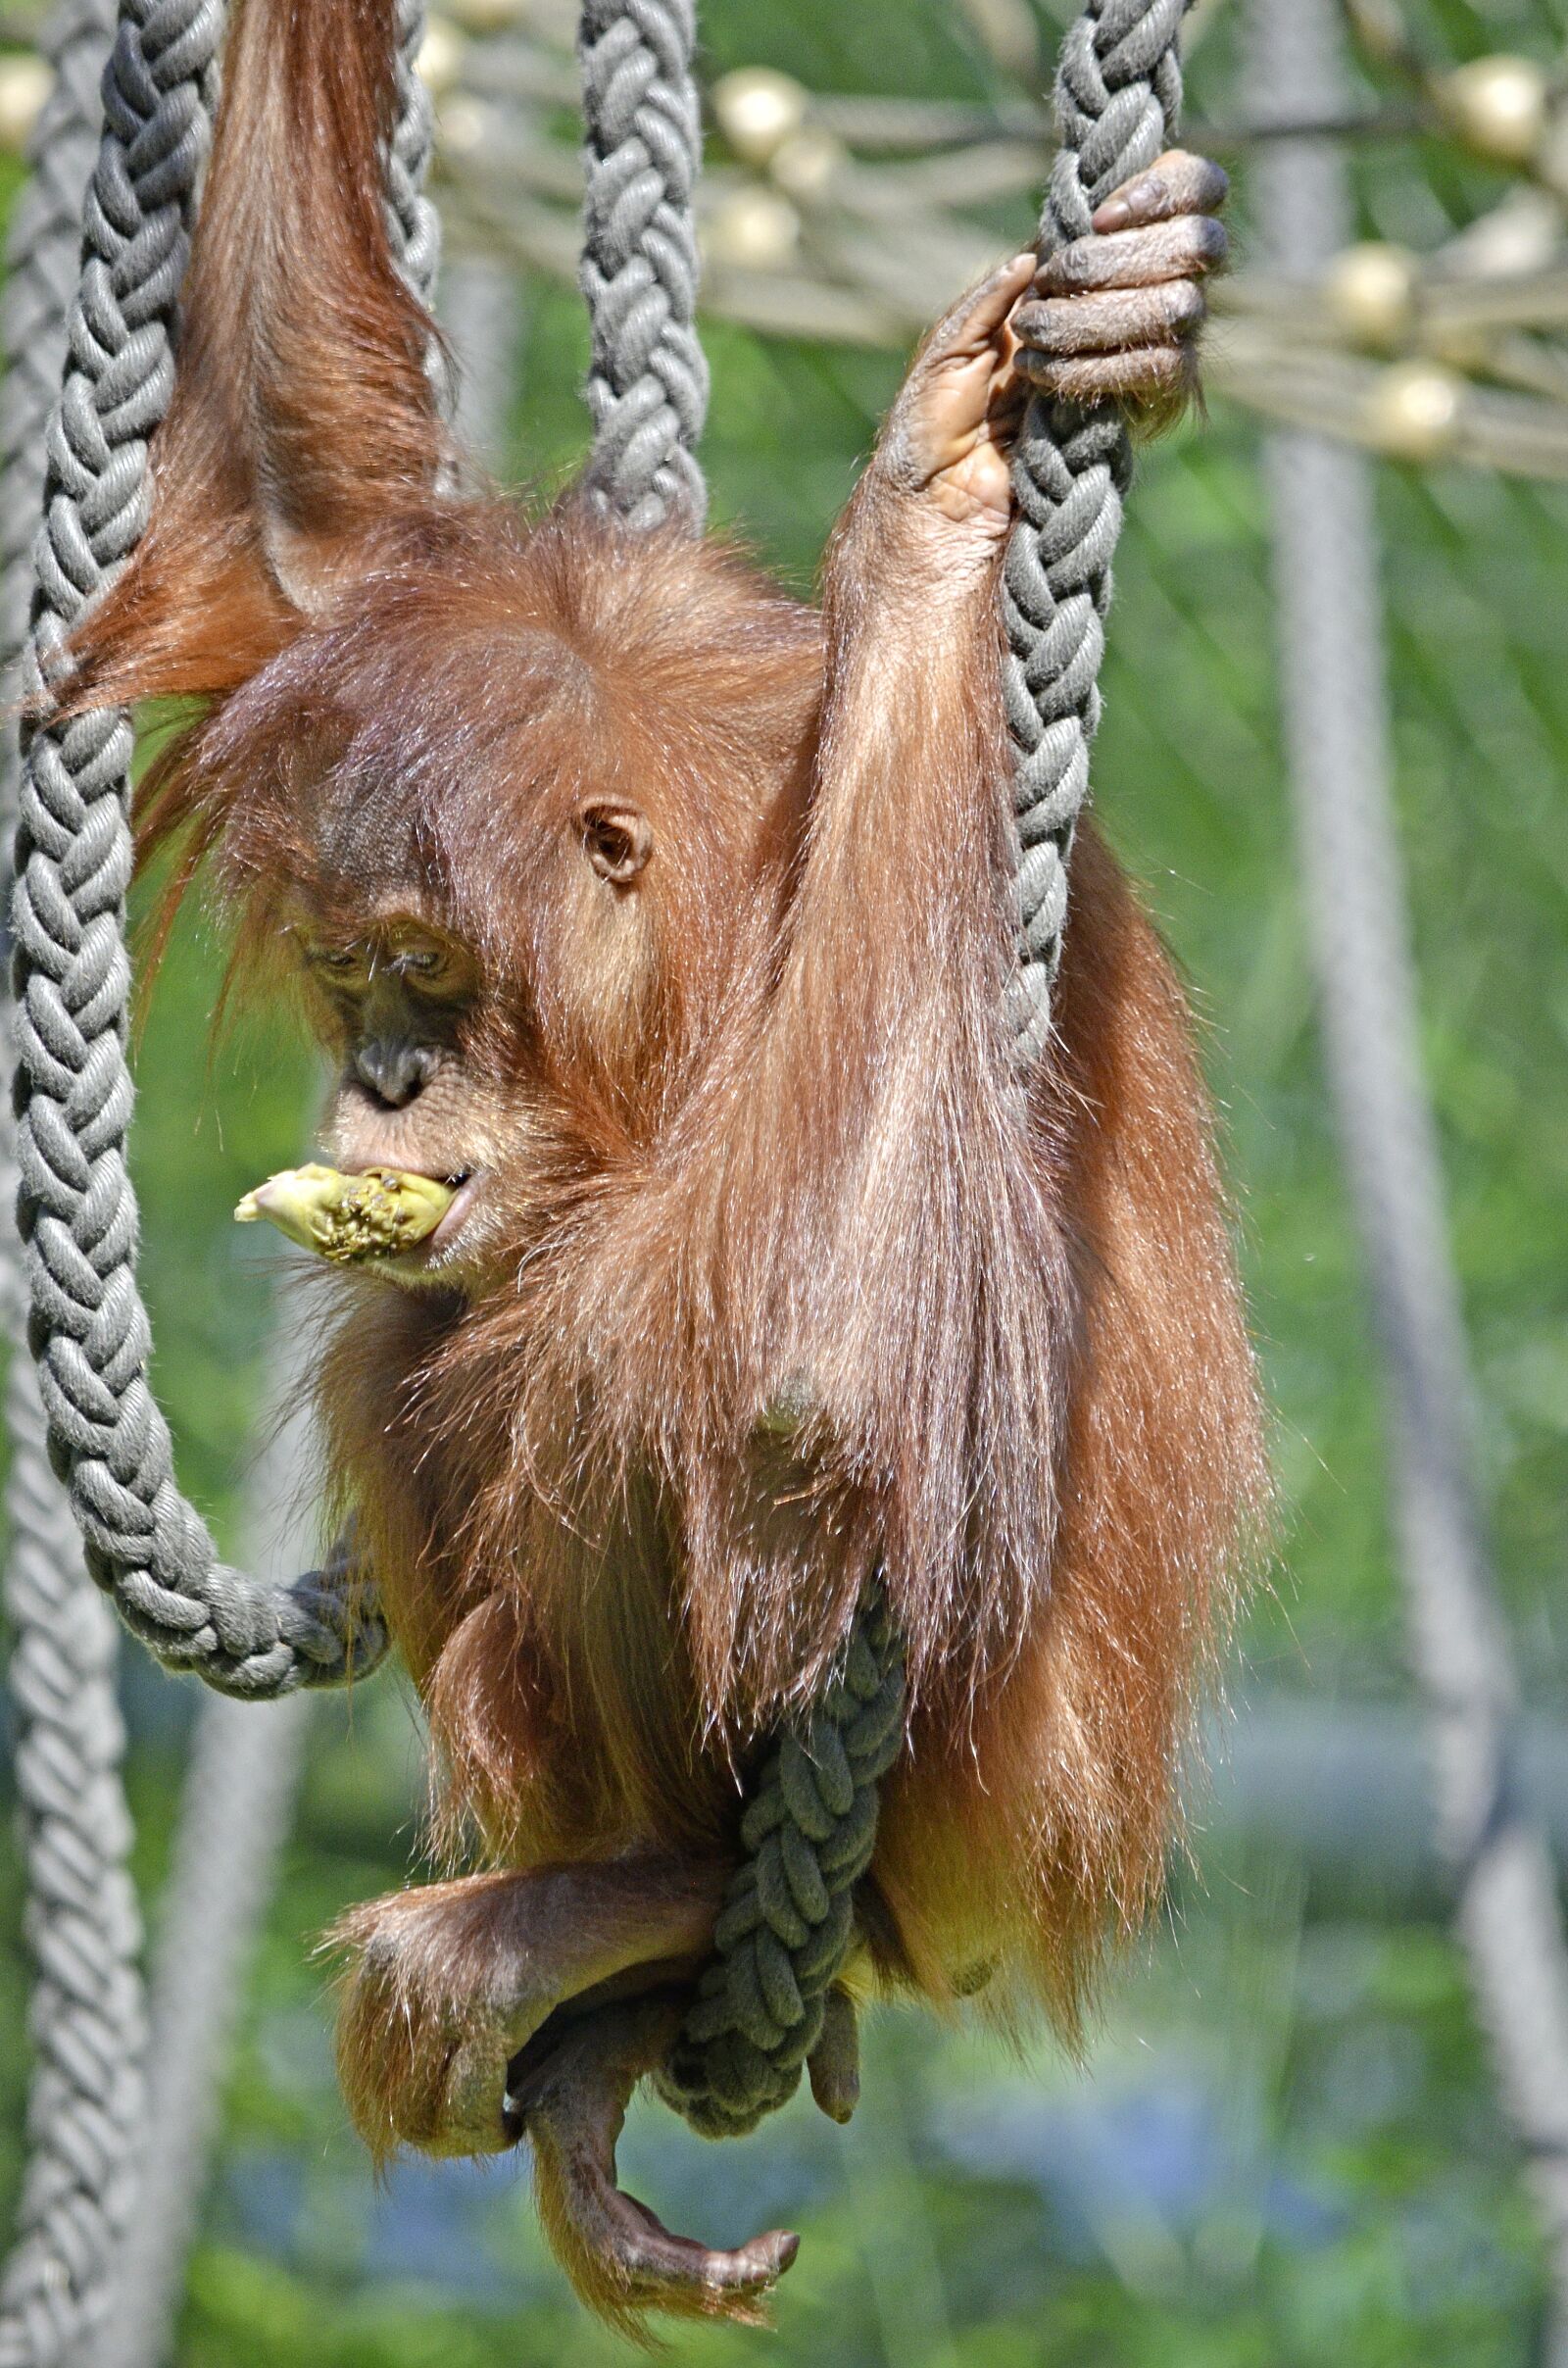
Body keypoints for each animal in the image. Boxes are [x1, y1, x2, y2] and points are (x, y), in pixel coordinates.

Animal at [66, 0, 1264, 2329]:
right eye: (352, 980)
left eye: (431, 978)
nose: (380, 1086)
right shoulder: (368, 629)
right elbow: (278, 480)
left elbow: (813, 1360)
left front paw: (922, 524)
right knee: (435, 1344)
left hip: (987, 1798)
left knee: (598, 1354)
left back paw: (642, 1900)